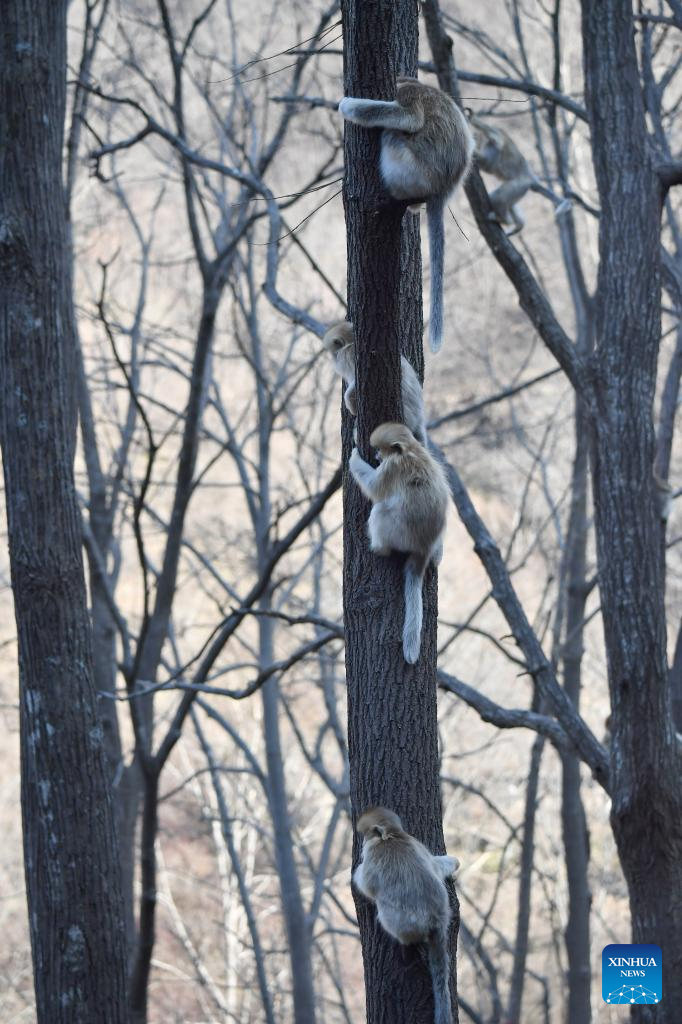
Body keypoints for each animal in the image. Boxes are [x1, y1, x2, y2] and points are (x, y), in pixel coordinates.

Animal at [339, 79, 475, 353]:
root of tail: (442, 189)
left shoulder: (410, 93)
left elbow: (409, 118)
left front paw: (349, 106)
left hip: (411, 169)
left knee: (392, 133)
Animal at [349, 422, 449, 663]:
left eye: (380, 449)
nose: (376, 455)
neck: (412, 449)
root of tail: (424, 547)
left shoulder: (392, 466)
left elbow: (374, 488)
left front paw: (354, 453)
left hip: (397, 531)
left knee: (380, 509)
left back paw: (379, 548)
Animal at [353, 807, 459, 1024]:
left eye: (367, 835)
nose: (363, 844)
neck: (392, 836)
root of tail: (437, 920)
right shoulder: (417, 844)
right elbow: (435, 865)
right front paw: (453, 863)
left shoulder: (374, 856)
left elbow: (366, 884)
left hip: (402, 922)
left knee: (384, 909)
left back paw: (403, 942)